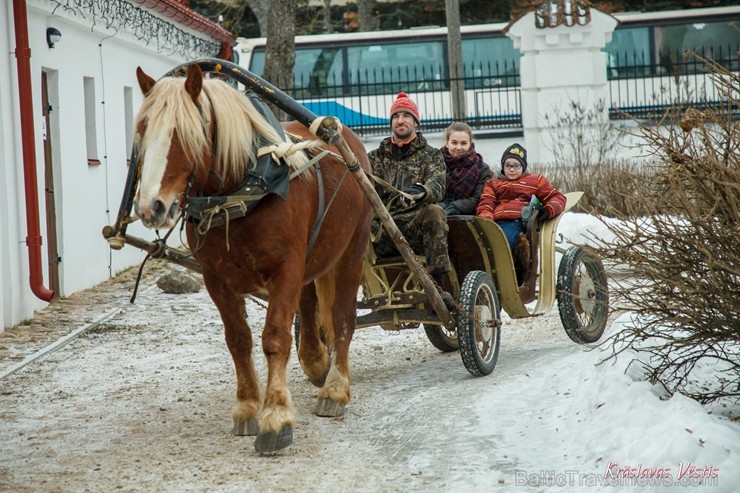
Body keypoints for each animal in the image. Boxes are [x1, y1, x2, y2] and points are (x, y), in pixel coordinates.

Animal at [132, 65, 372, 454]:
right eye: (142, 130)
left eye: (184, 133)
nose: (150, 206)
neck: (239, 193)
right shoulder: (216, 278)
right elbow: (238, 339)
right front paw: (246, 407)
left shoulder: (285, 270)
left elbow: (274, 338)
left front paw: (275, 418)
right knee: (309, 306)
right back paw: (316, 361)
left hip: (352, 249)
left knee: (342, 317)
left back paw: (335, 388)